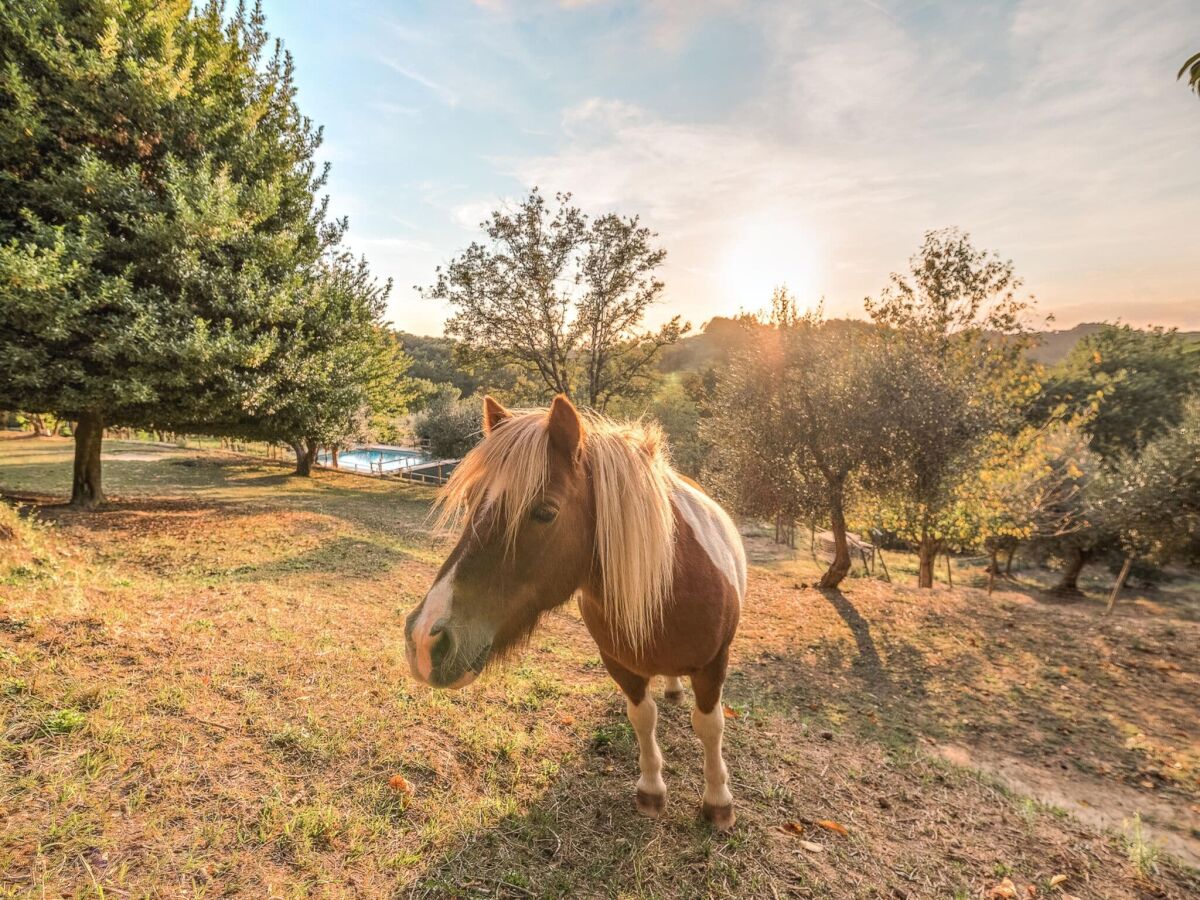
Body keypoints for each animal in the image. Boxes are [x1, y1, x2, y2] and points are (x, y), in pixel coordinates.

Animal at [408, 393, 744, 830]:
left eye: (545, 512)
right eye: (470, 501)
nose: (423, 639)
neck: (669, 587)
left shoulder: (713, 664)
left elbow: (710, 726)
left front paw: (718, 800)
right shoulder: (621, 665)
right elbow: (643, 718)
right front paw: (651, 789)